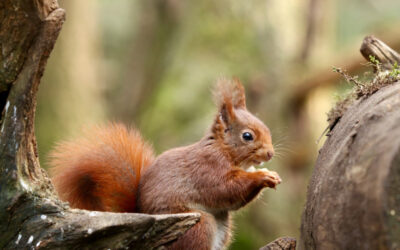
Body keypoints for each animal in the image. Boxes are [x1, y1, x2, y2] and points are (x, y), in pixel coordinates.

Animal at [50, 77, 282, 248]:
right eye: (247, 136)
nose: (270, 154)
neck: (224, 150)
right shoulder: (207, 169)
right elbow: (225, 188)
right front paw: (263, 176)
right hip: (198, 225)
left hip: (222, 227)